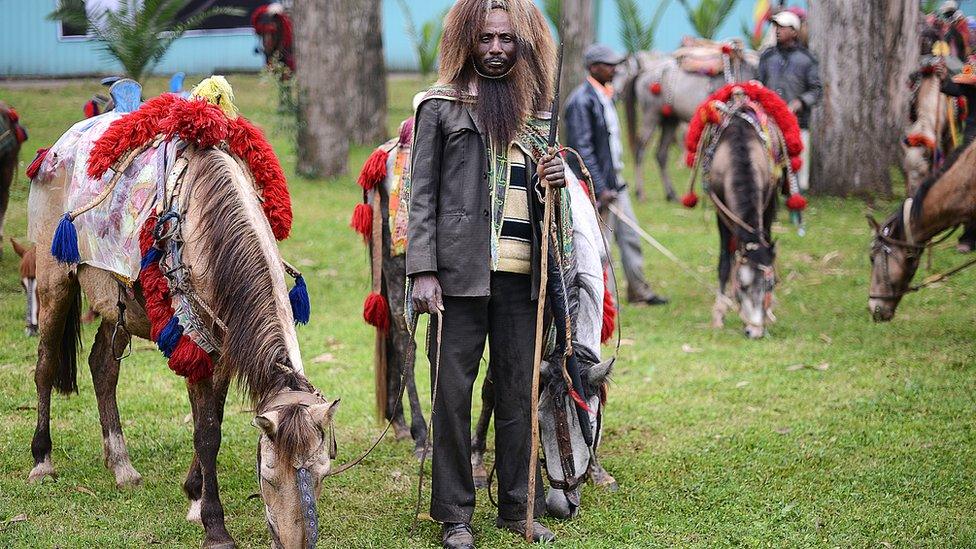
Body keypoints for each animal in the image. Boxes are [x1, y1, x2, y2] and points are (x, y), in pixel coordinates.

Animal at [28, 93, 338, 544]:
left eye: (322, 472)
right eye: (268, 474)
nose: (296, 543)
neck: (207, 234)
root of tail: (55, 148)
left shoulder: (223, 346)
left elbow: (215, 421)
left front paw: (194, 494)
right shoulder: (195, 344)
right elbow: (206, 431)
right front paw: (214, 524)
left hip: (118, 308)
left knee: (102, 366)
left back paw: (122, 467)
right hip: (54, 281)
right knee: (46, 366)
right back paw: (42, 461)